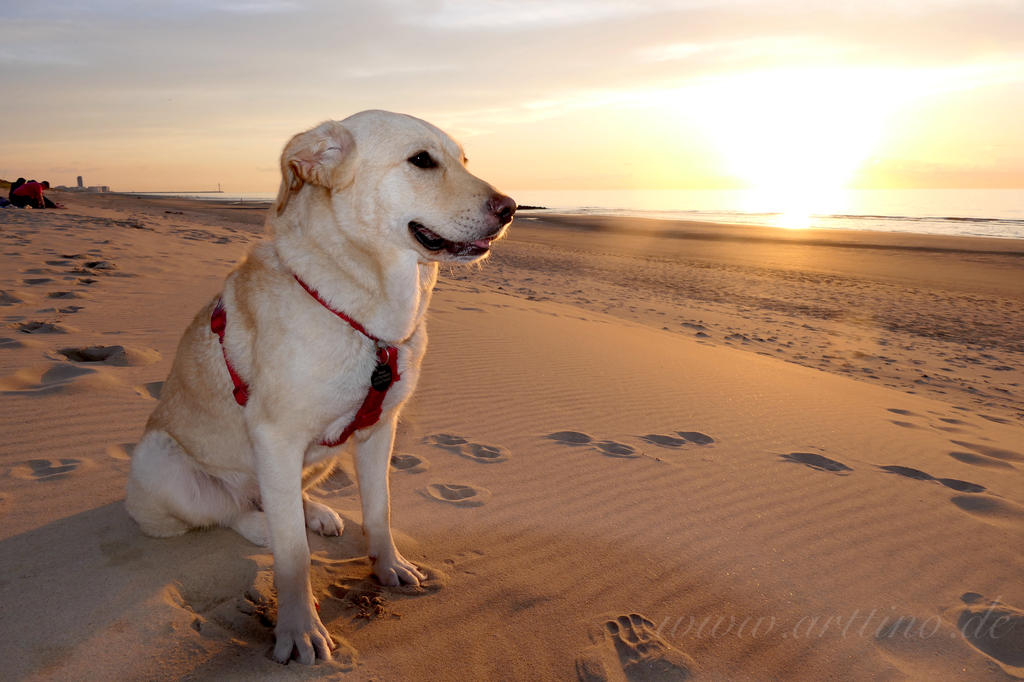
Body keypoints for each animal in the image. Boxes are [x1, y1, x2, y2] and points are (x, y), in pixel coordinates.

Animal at [124, 110, 516, 659]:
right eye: (421, 160)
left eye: (463, 159)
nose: (511, 209)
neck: (368, 320)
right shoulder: (275, 437)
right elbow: (293, 555)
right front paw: (299, 628)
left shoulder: (379, 431)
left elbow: (380, 510)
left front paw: (388, 566)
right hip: (158, 459)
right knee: (229, 511)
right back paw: (261, 526)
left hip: (323, 458)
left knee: (281, 499)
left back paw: (317, 514)